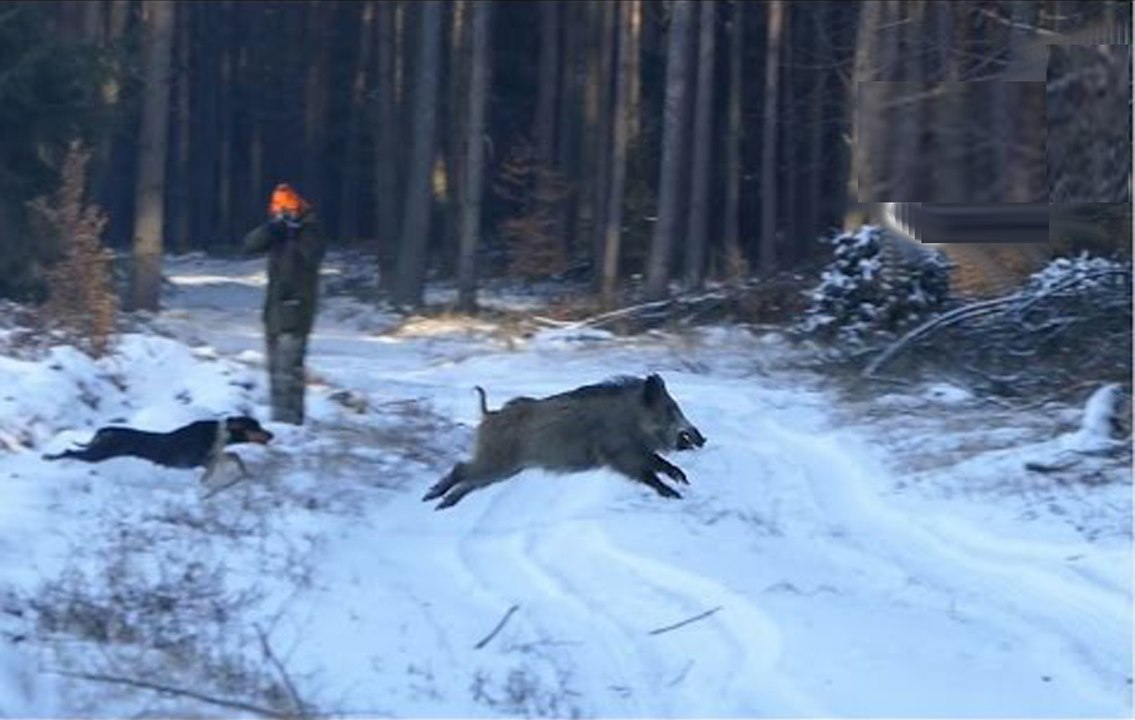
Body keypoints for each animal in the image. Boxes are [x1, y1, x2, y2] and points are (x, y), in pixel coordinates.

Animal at [423, 373, 706, 510]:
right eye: (670, 410)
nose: (702, 437)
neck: (632, 419)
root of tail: (488, 415)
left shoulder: (634, 453)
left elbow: (658, 463)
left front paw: (683, 481)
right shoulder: (619, 454)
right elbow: (649, 472)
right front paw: (675, 494)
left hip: (505, 469)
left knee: (468, 483)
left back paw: (441, 506)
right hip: (496, 461)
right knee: (461, 469)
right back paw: (430, 497)